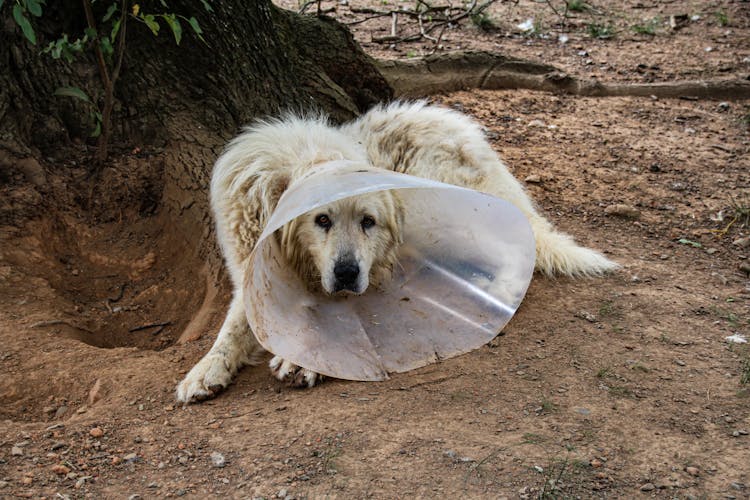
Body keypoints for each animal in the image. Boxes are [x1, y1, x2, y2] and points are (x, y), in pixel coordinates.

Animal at [175, 100, 616, 402]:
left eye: (368, 221)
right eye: (322, 220)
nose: (347, 274)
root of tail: (465, 130)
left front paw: (301, 361)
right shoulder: (254, 276)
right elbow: (232, 329)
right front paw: (205, 370)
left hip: (438, 211)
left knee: (516, 243)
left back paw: (500, 289)